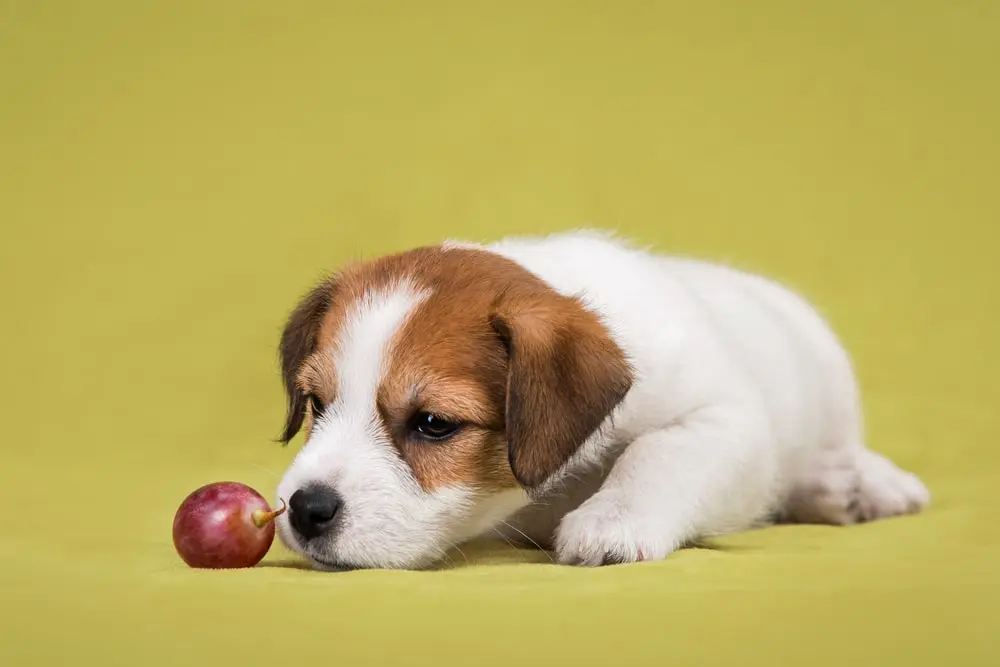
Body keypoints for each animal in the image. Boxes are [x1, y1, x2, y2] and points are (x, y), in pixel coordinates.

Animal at [274, 232, 928, 572]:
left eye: (433, 423)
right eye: (317, 404)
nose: (305, 509)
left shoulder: (723, 417)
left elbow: (656, 453)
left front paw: (612, 520)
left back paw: (863, 483)